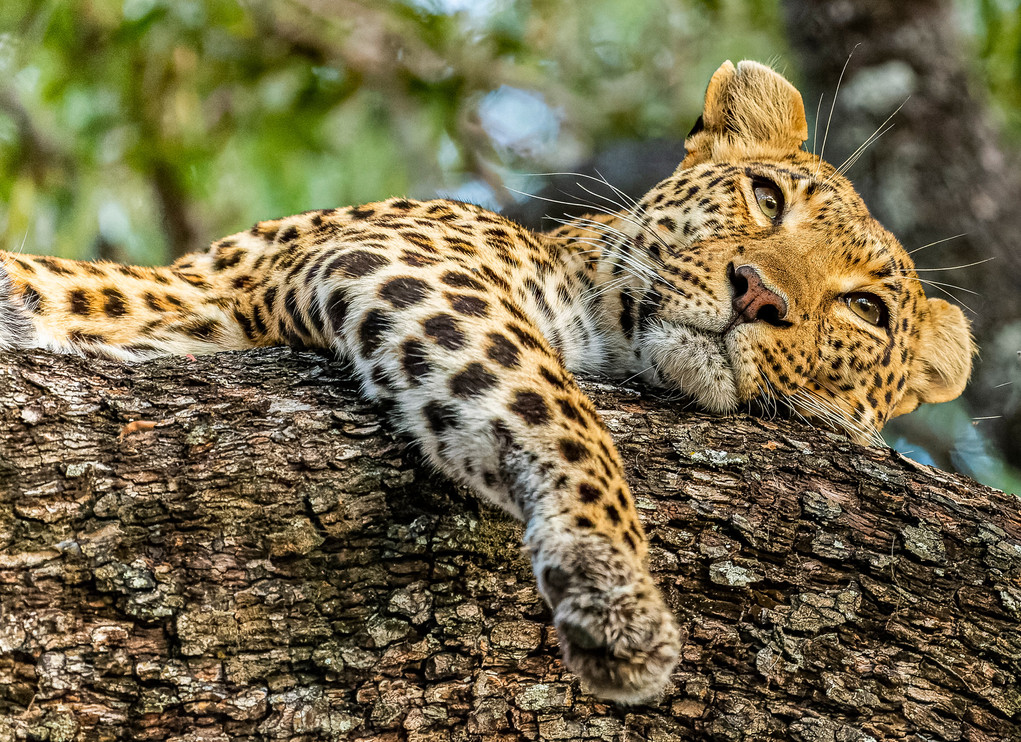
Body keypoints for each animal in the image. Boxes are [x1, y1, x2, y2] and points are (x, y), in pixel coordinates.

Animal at [0, 62, 971, 702]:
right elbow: (558, 408)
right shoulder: (405, 261)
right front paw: (617, 590)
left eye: (864, 309)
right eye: (766, 197)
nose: (757, 293)